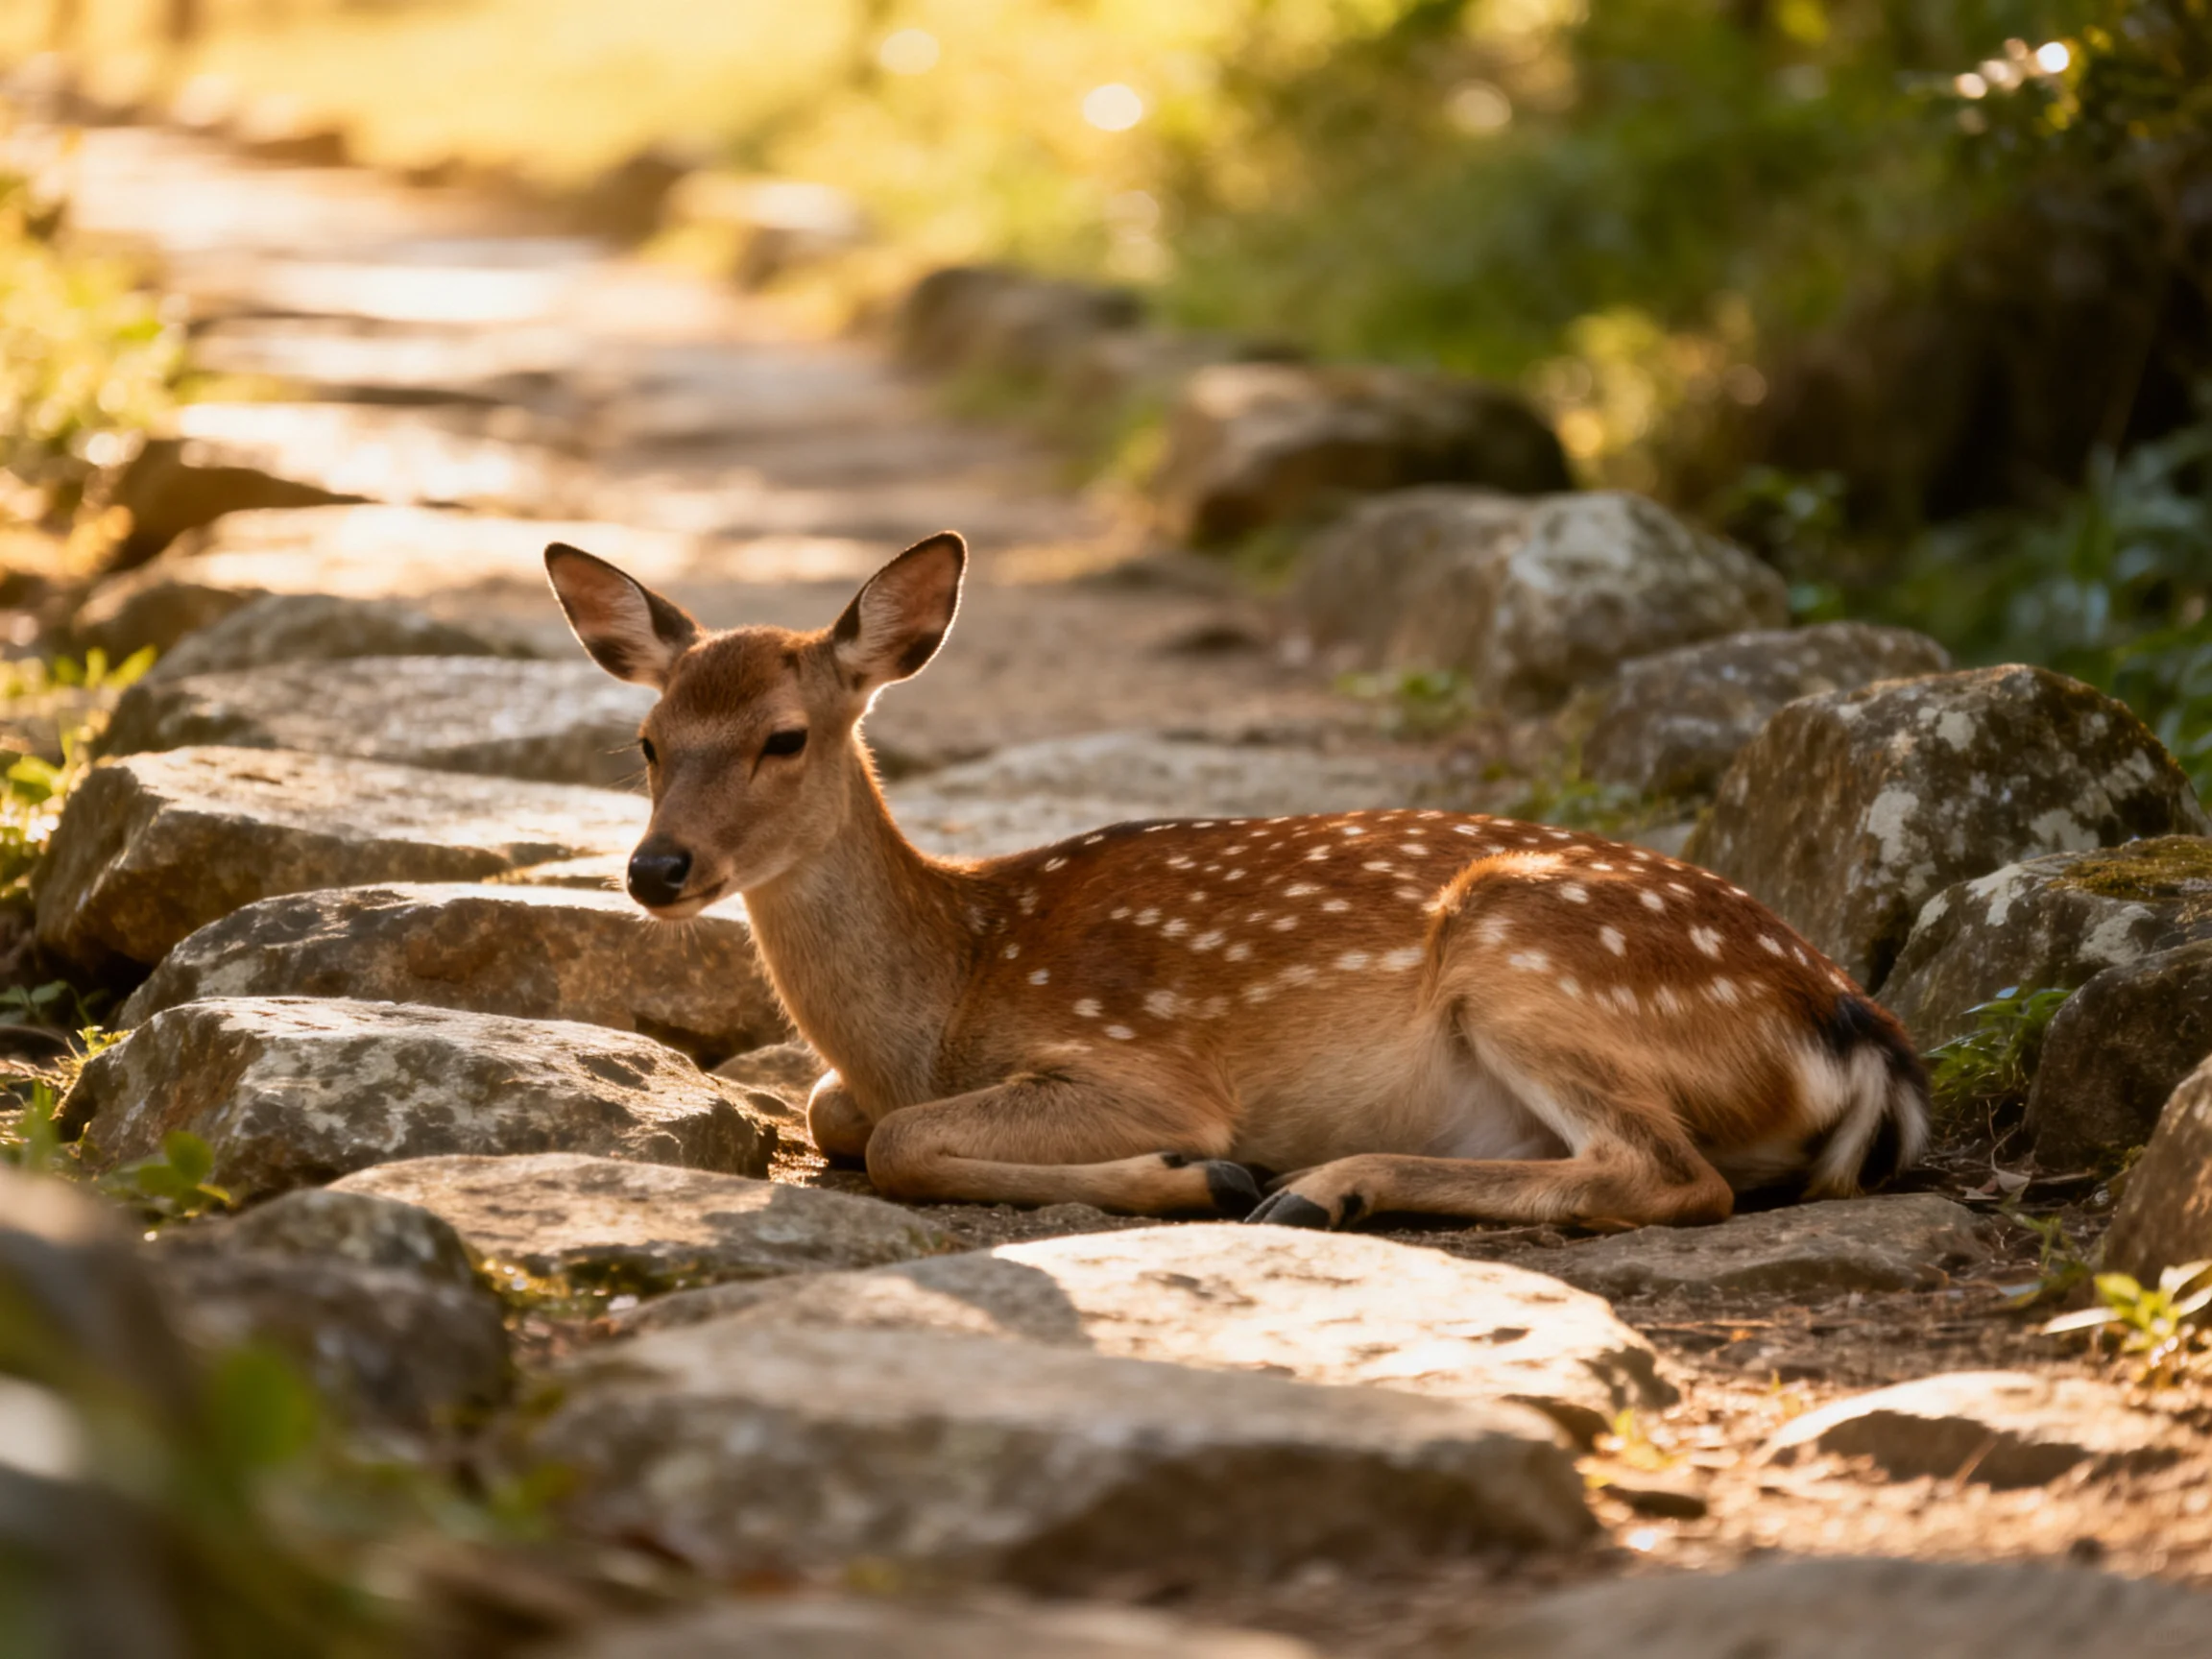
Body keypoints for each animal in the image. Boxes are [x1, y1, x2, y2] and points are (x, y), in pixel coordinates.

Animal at [545, 530, 1929, 1232]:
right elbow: (844, 1114)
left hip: (1532, 954)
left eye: (785, 737)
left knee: (1671, 1176)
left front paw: (1197, 1173)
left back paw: (1317, 1188)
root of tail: (1858, 1035)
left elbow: (896, 1139)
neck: (946, 992)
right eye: (648, 740)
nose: (657, 867)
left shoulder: (1140, 1060)